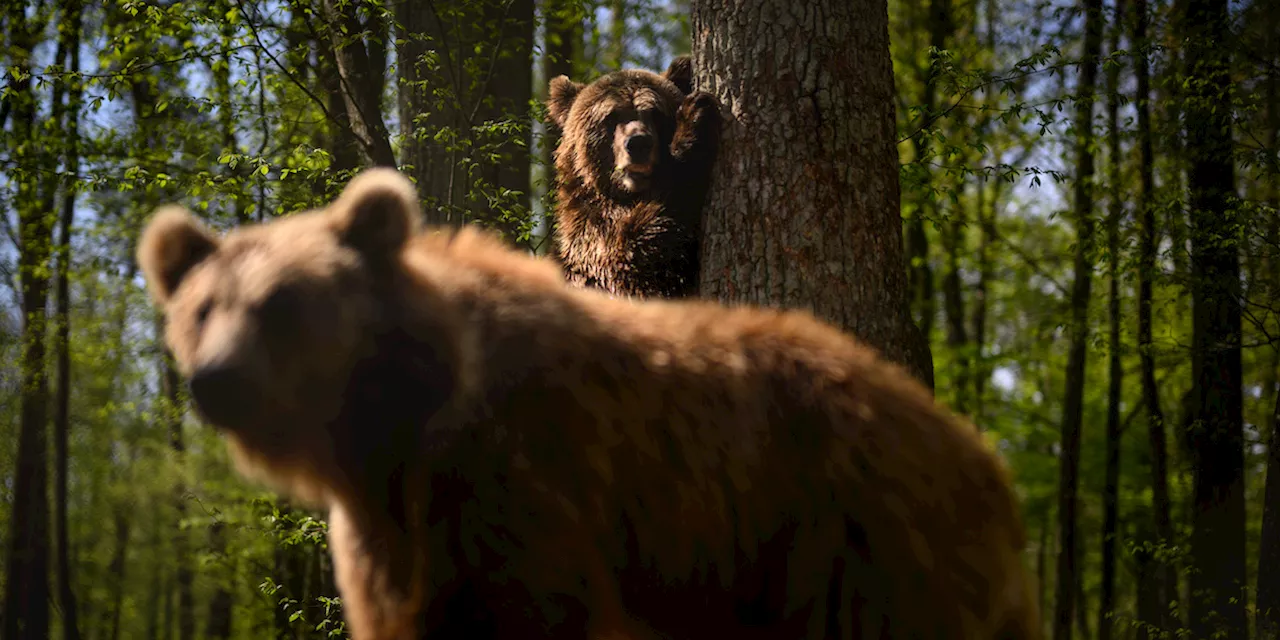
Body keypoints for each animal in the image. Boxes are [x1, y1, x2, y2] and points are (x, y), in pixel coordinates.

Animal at [137, 168, 1039, 640]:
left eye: (282, 302)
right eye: (202, 308)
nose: (214, 379)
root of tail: (983, 458)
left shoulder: (525, 483)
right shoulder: (397, 539)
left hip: (854, 543)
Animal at [542, 53, 721, 298]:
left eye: (655, 113)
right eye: (610, 116)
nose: (638, 143)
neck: (627, 197)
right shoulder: (593, 242)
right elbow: (638, 258)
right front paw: (695, 116)